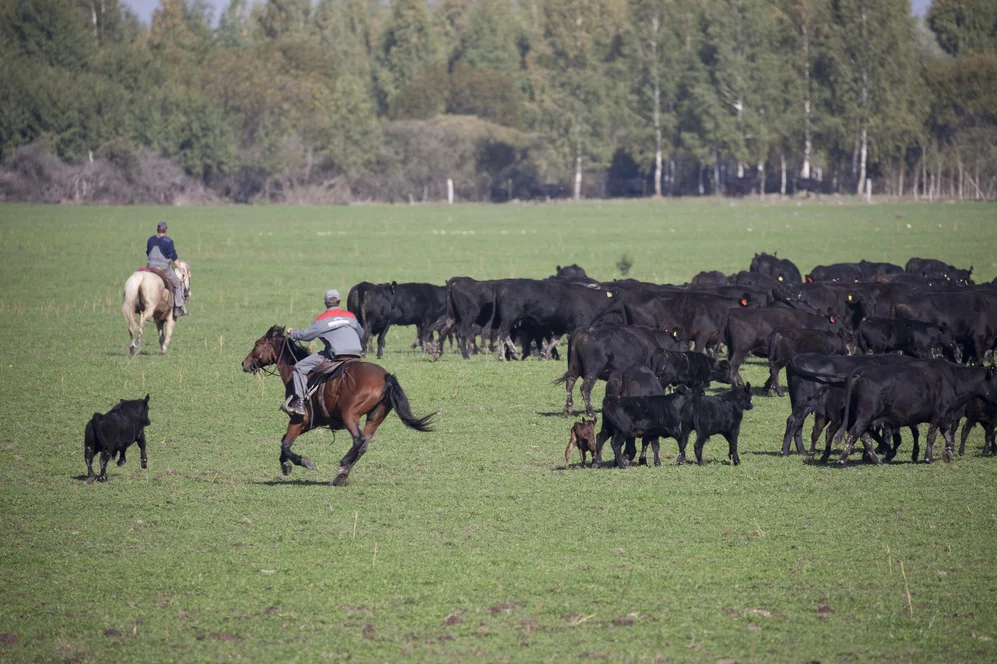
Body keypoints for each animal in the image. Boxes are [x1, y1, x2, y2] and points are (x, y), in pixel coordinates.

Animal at [242, 326, 436, 486]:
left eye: (257, 344)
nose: (244, 363)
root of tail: (386, 377)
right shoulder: (312, 422)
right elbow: (284, 441)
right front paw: (285, 465)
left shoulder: (298, 419)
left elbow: (285, 443)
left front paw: (302, 461)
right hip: (375, 417)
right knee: (363, 444)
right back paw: (341, 475)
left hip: (350, 415)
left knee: (358, 440)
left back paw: (343, 465)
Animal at [556, 322, 688, 416]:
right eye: (686, 343)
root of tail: (583, 330)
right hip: (593, 370)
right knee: (585, 388)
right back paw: (590, 412)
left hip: (574, 366)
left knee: (570, 383)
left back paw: (568, 409)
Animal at [832, 360, 996, 464]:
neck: (953, 379)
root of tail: (864, 371)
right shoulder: (938, 414)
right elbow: (931, 435)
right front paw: (928, 458)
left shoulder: (945, 417)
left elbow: (948, 436)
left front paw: (948, 453)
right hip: (865, 415)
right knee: (855, 433)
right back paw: (842, 460)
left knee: (864, 436)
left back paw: (877, 460)